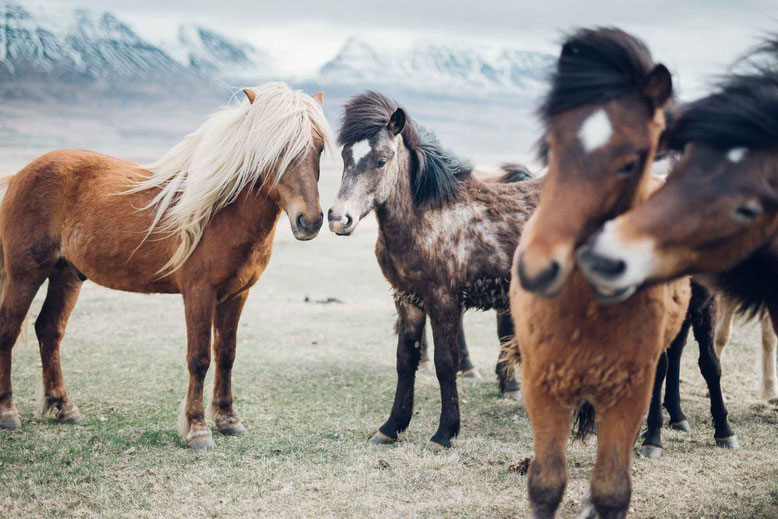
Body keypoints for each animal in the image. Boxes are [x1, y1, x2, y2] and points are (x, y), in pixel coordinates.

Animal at [0, 83, 330, 448]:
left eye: (319, 148)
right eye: (276, 149)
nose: (310, 221)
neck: (219, 212)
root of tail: (20, 174)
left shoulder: (236, 296)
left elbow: (226, 354)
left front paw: (228, 419)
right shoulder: (199, 294)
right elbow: (199, 358)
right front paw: (198, 428)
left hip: (66, 275)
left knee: (49, 329)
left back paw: (64, 407)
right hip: (25, 275)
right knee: (8, 331)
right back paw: (8, 413)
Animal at [328, 91, 540, 448]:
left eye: (382, 160)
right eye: (345, 155)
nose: (338, 218)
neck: (429, 215)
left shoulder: (442, 300)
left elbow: (445, 362)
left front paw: (445, 432)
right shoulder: (407, 299)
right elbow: (405, 360)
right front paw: (391, 427)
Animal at [512, 29, 688, 519]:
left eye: (631, 162)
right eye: (552, 147)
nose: (537, 268)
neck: (586, 313)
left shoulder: (628, 394)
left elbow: (611, 489)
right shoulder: (542, 388)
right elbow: (545, 484)